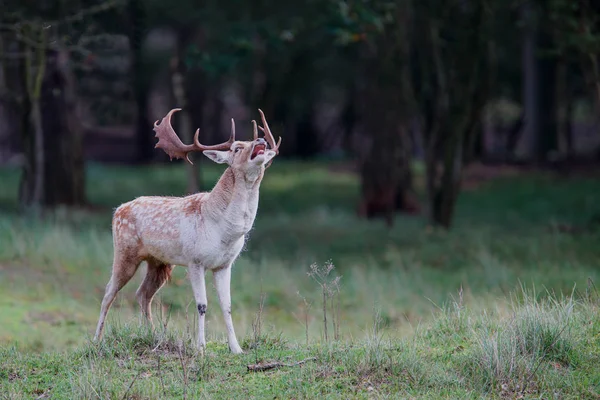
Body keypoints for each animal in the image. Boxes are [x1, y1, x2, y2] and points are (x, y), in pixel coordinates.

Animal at [93, 107, 282, 354]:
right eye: (236, 148)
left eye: (253, 140)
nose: (261, 140)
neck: (223, 230)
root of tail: (117, 210)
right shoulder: (195, 260)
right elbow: (202, 304)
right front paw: (201, 348)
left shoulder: (224, 264)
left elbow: (227, 305)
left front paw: (236, 348)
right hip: (125, 251)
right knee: (109, 292)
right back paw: (96, 340)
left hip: (159, 262)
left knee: (143, 294)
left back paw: (154, 335)